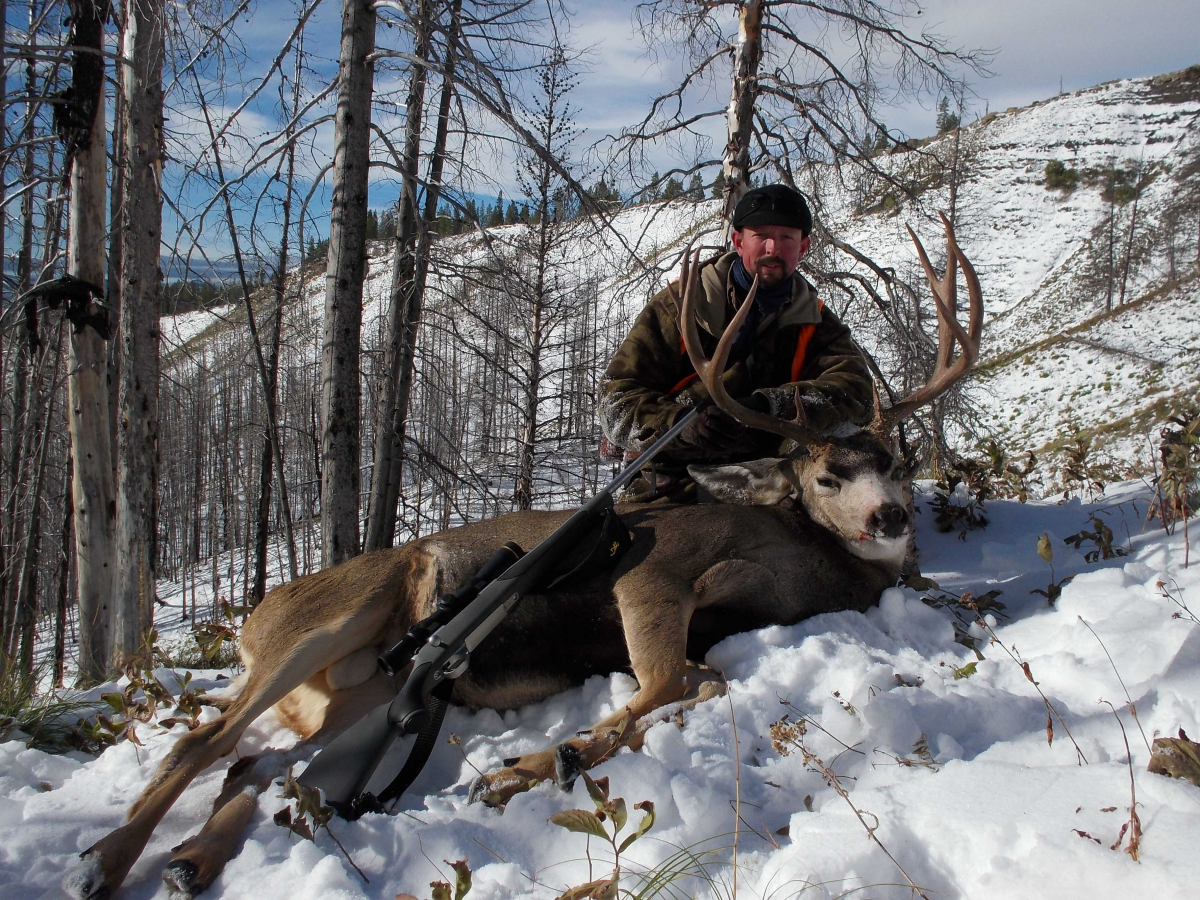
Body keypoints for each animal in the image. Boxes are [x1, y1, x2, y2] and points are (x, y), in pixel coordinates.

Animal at [65, 213, 979, 900]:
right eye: (828, 474)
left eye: (897, 463)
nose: (891, 516)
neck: (802, 565)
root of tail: (253, 620)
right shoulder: (655, 573)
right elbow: (666, 682)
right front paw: (528, 767)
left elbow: (700, 683)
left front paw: (538, 763)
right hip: (328, 623)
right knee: (206, 742)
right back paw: (103, 864)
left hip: (362, 691)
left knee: (257, 765)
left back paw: (189, 862)